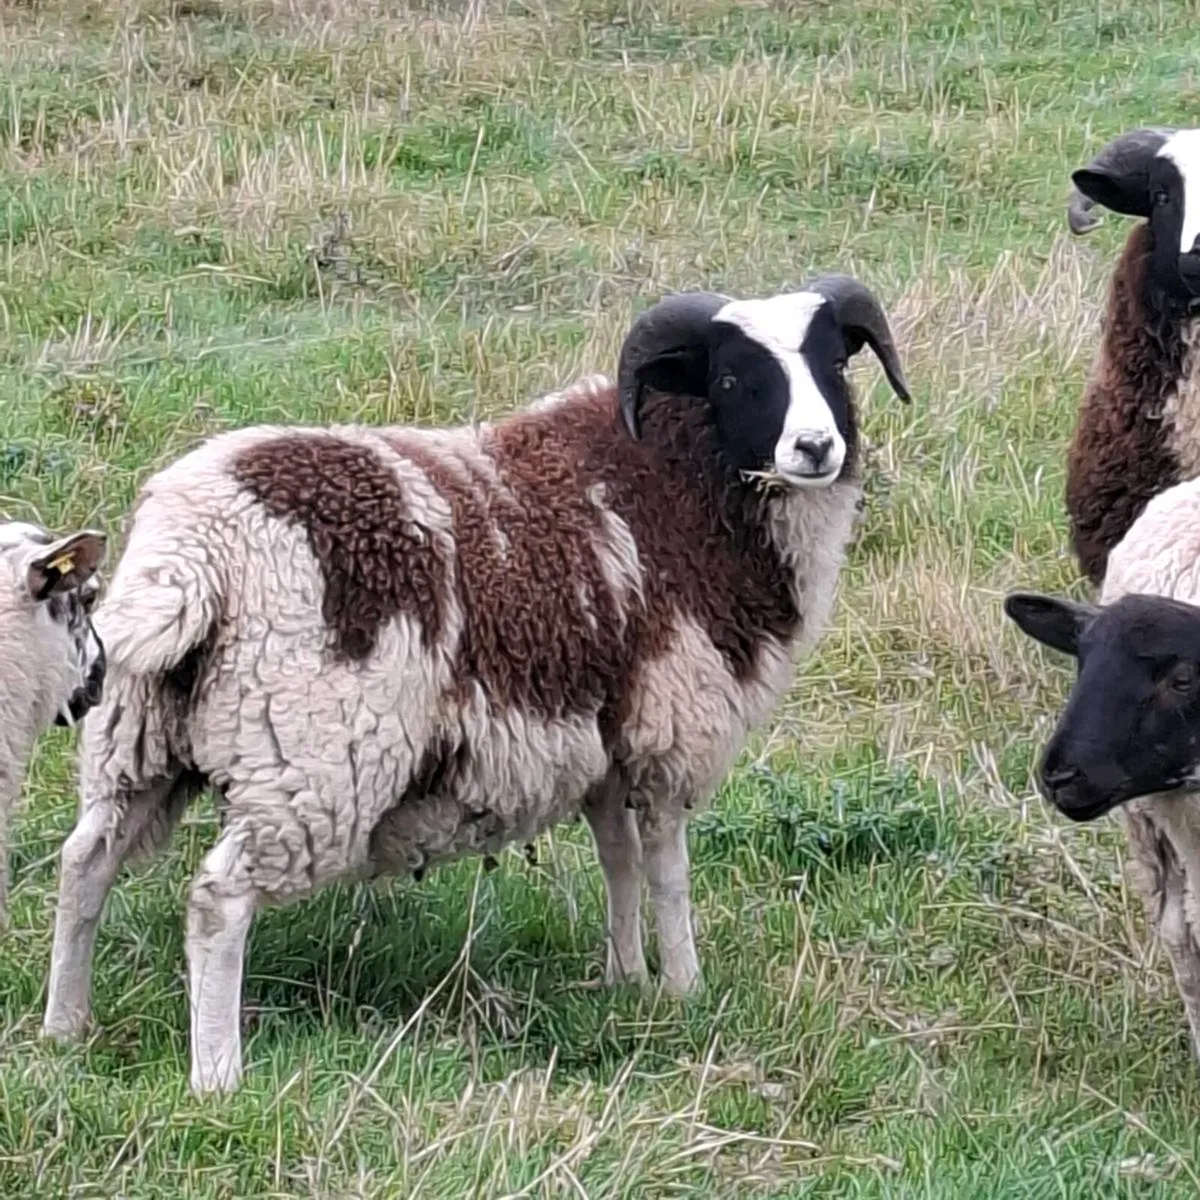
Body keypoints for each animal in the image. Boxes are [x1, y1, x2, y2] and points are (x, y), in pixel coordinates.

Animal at [38, 274, 911, 1094]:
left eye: (834, 362)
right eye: (733, 377)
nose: (815, 447)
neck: (675, 481)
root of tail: (191, 554)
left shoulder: (601, 736)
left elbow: (618, 858)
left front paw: (625, 978)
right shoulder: (672, 724)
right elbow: (666, 867)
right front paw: (683, 988)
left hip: (135, 741)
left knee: (85, 864)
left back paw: (65, 1026)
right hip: (308, 757)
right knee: (217, 899)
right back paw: (217, 1073)